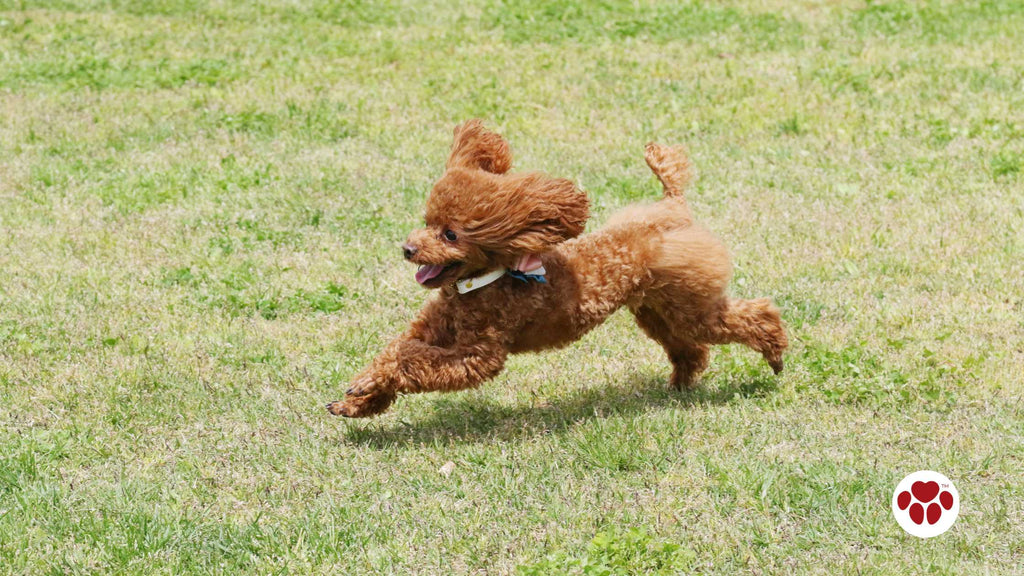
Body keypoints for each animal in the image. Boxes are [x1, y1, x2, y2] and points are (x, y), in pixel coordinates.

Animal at [323, 120, 786, 416]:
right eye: (426, 220)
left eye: (450, 233)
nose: (408, 249)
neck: (484, 283)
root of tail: (674, 206)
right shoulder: (433, 328)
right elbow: (397, 351)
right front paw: (356, 399)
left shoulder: (477, 355)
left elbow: (411, 361)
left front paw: (364, 390)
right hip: (657, 309)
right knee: (690, 349)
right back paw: (680, 386)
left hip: (690, 304)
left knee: (753, 317)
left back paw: (776, 356)